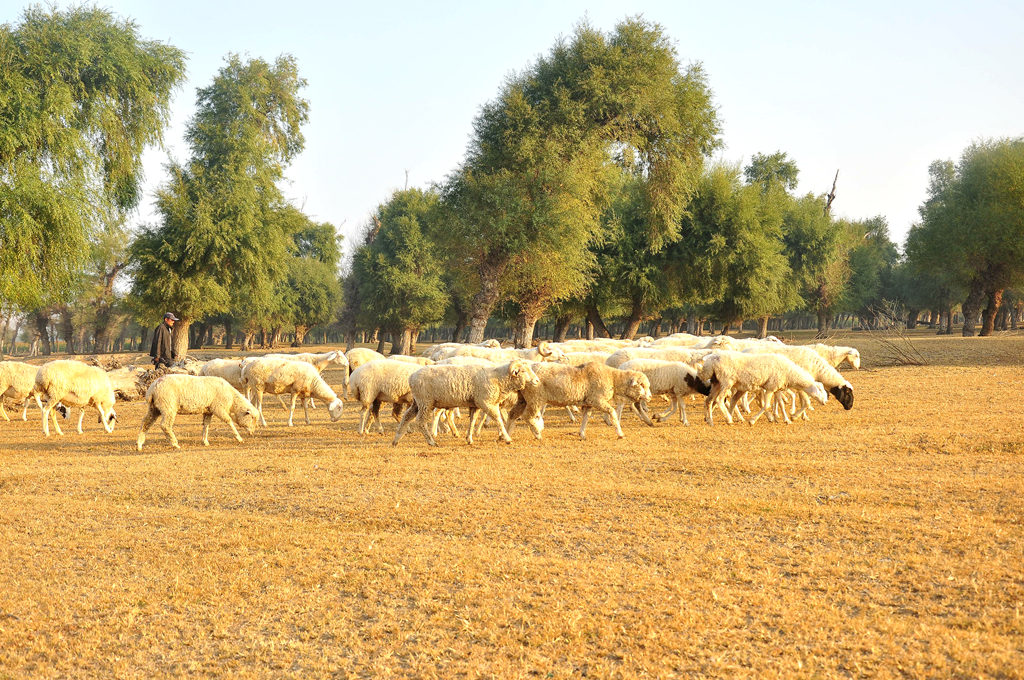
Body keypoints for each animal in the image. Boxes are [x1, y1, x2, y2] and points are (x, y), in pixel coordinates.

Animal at [387, 358, 540, 448]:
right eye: (523, 371)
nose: (537, 381)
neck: (498, 377)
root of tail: (411, 377)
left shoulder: (475, 405)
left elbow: (472, 422)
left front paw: (469, 439)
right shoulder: (486, 403)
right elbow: (499, 420)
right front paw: (507, 438)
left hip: (417, 402)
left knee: (407, 416)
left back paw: (396, 440)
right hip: (426, 402)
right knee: (420, 421)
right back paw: (431, 441)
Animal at [505, 360, 655, 440]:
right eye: (642, 385)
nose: (650, 397)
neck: (613, 378)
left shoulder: (589, 402)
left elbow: (586, 418)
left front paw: (582, 434)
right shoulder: (598, 400)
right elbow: (612, 412)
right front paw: (620, 433)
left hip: (523, 399)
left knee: (512, 414)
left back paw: (507, 434)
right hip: (535, 398)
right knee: (527, 416)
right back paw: (537, 434)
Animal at [696, 350, 831, 426]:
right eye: (821, 391)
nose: (825, 402)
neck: (789, 373)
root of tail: (710, 361)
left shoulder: (777, 388)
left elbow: (781, 405)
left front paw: (787, 420)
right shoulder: (770, 388)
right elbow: (766, 405)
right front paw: (752, 421)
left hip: (717, 382)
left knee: (709, 401)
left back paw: (710, 421)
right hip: (726, 381)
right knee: (719, 400)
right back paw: (728, 419)